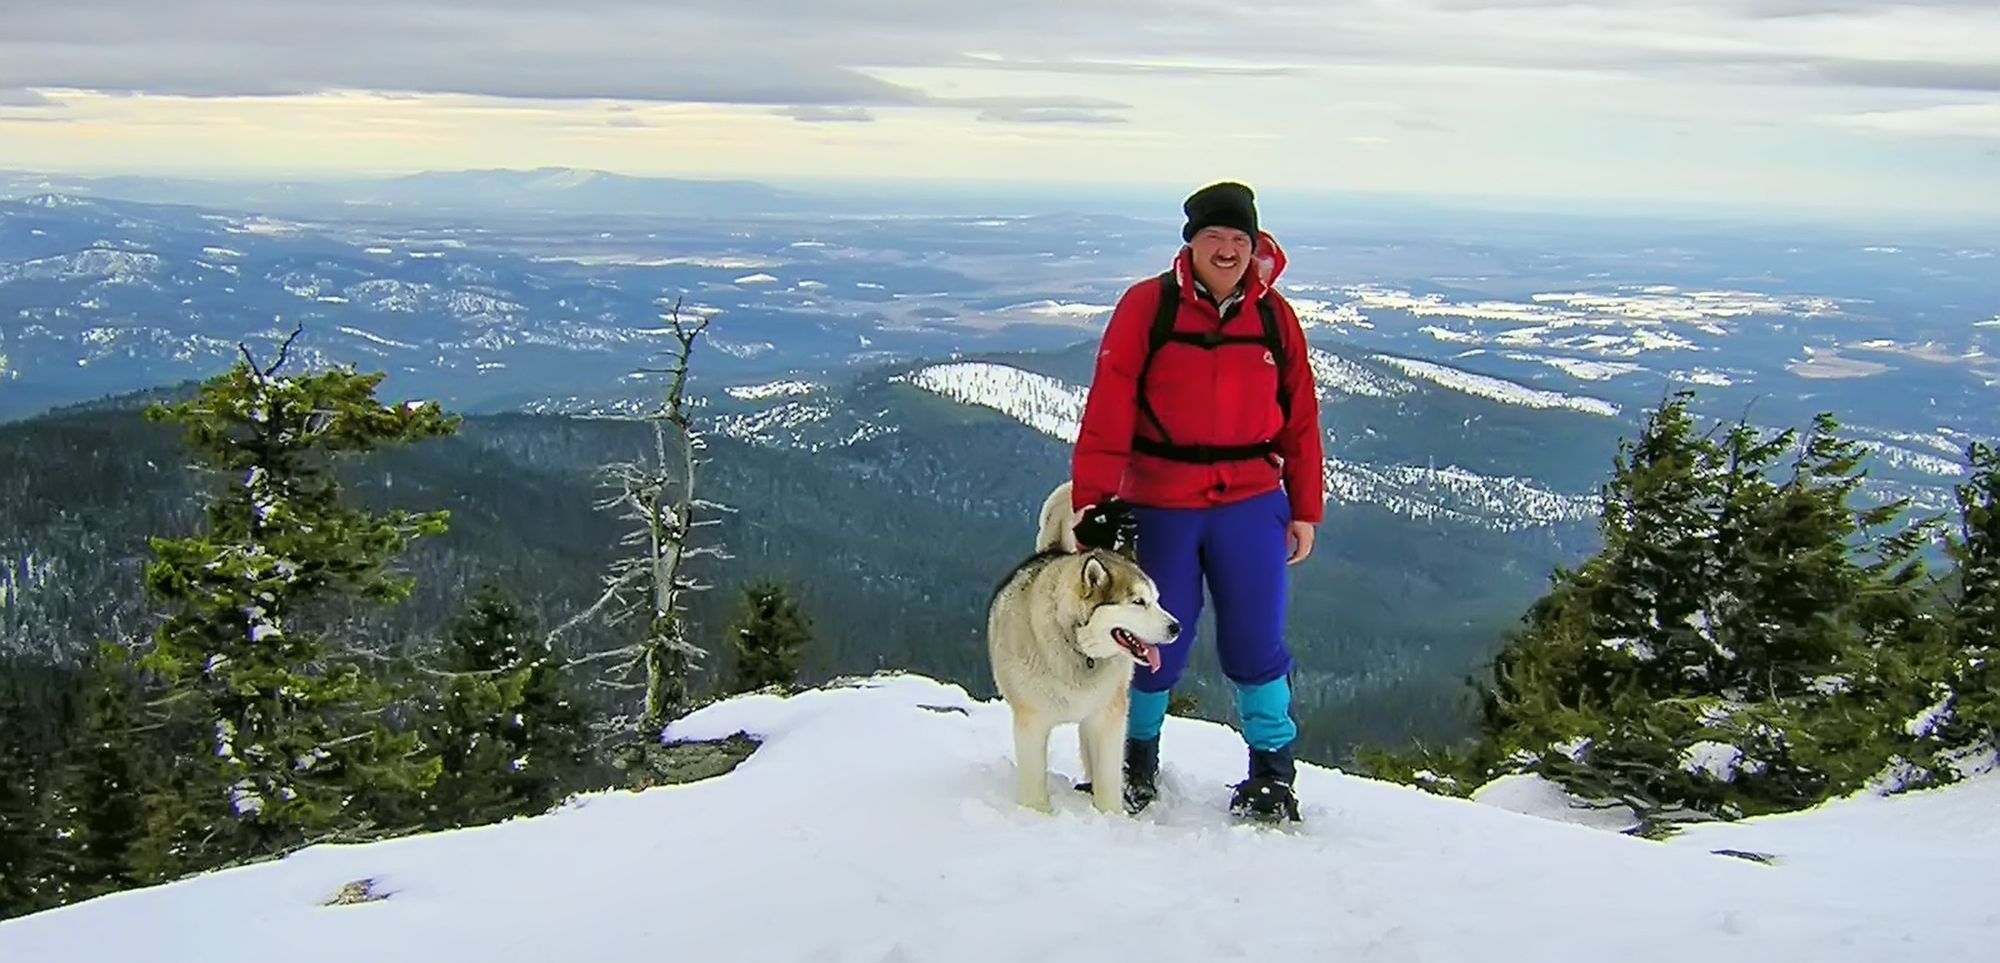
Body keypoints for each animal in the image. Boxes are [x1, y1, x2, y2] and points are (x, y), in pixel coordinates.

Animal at [992, 481, 1176, 811]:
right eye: (1137, 602)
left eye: (1156, 600)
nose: (1176, 628)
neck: (1078, 650)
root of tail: (1053, 550)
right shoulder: (1031, 722)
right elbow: (1034, 783)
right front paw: (1039, 815)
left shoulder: (1107, 719)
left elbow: (1108, 779)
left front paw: (1110, 817)